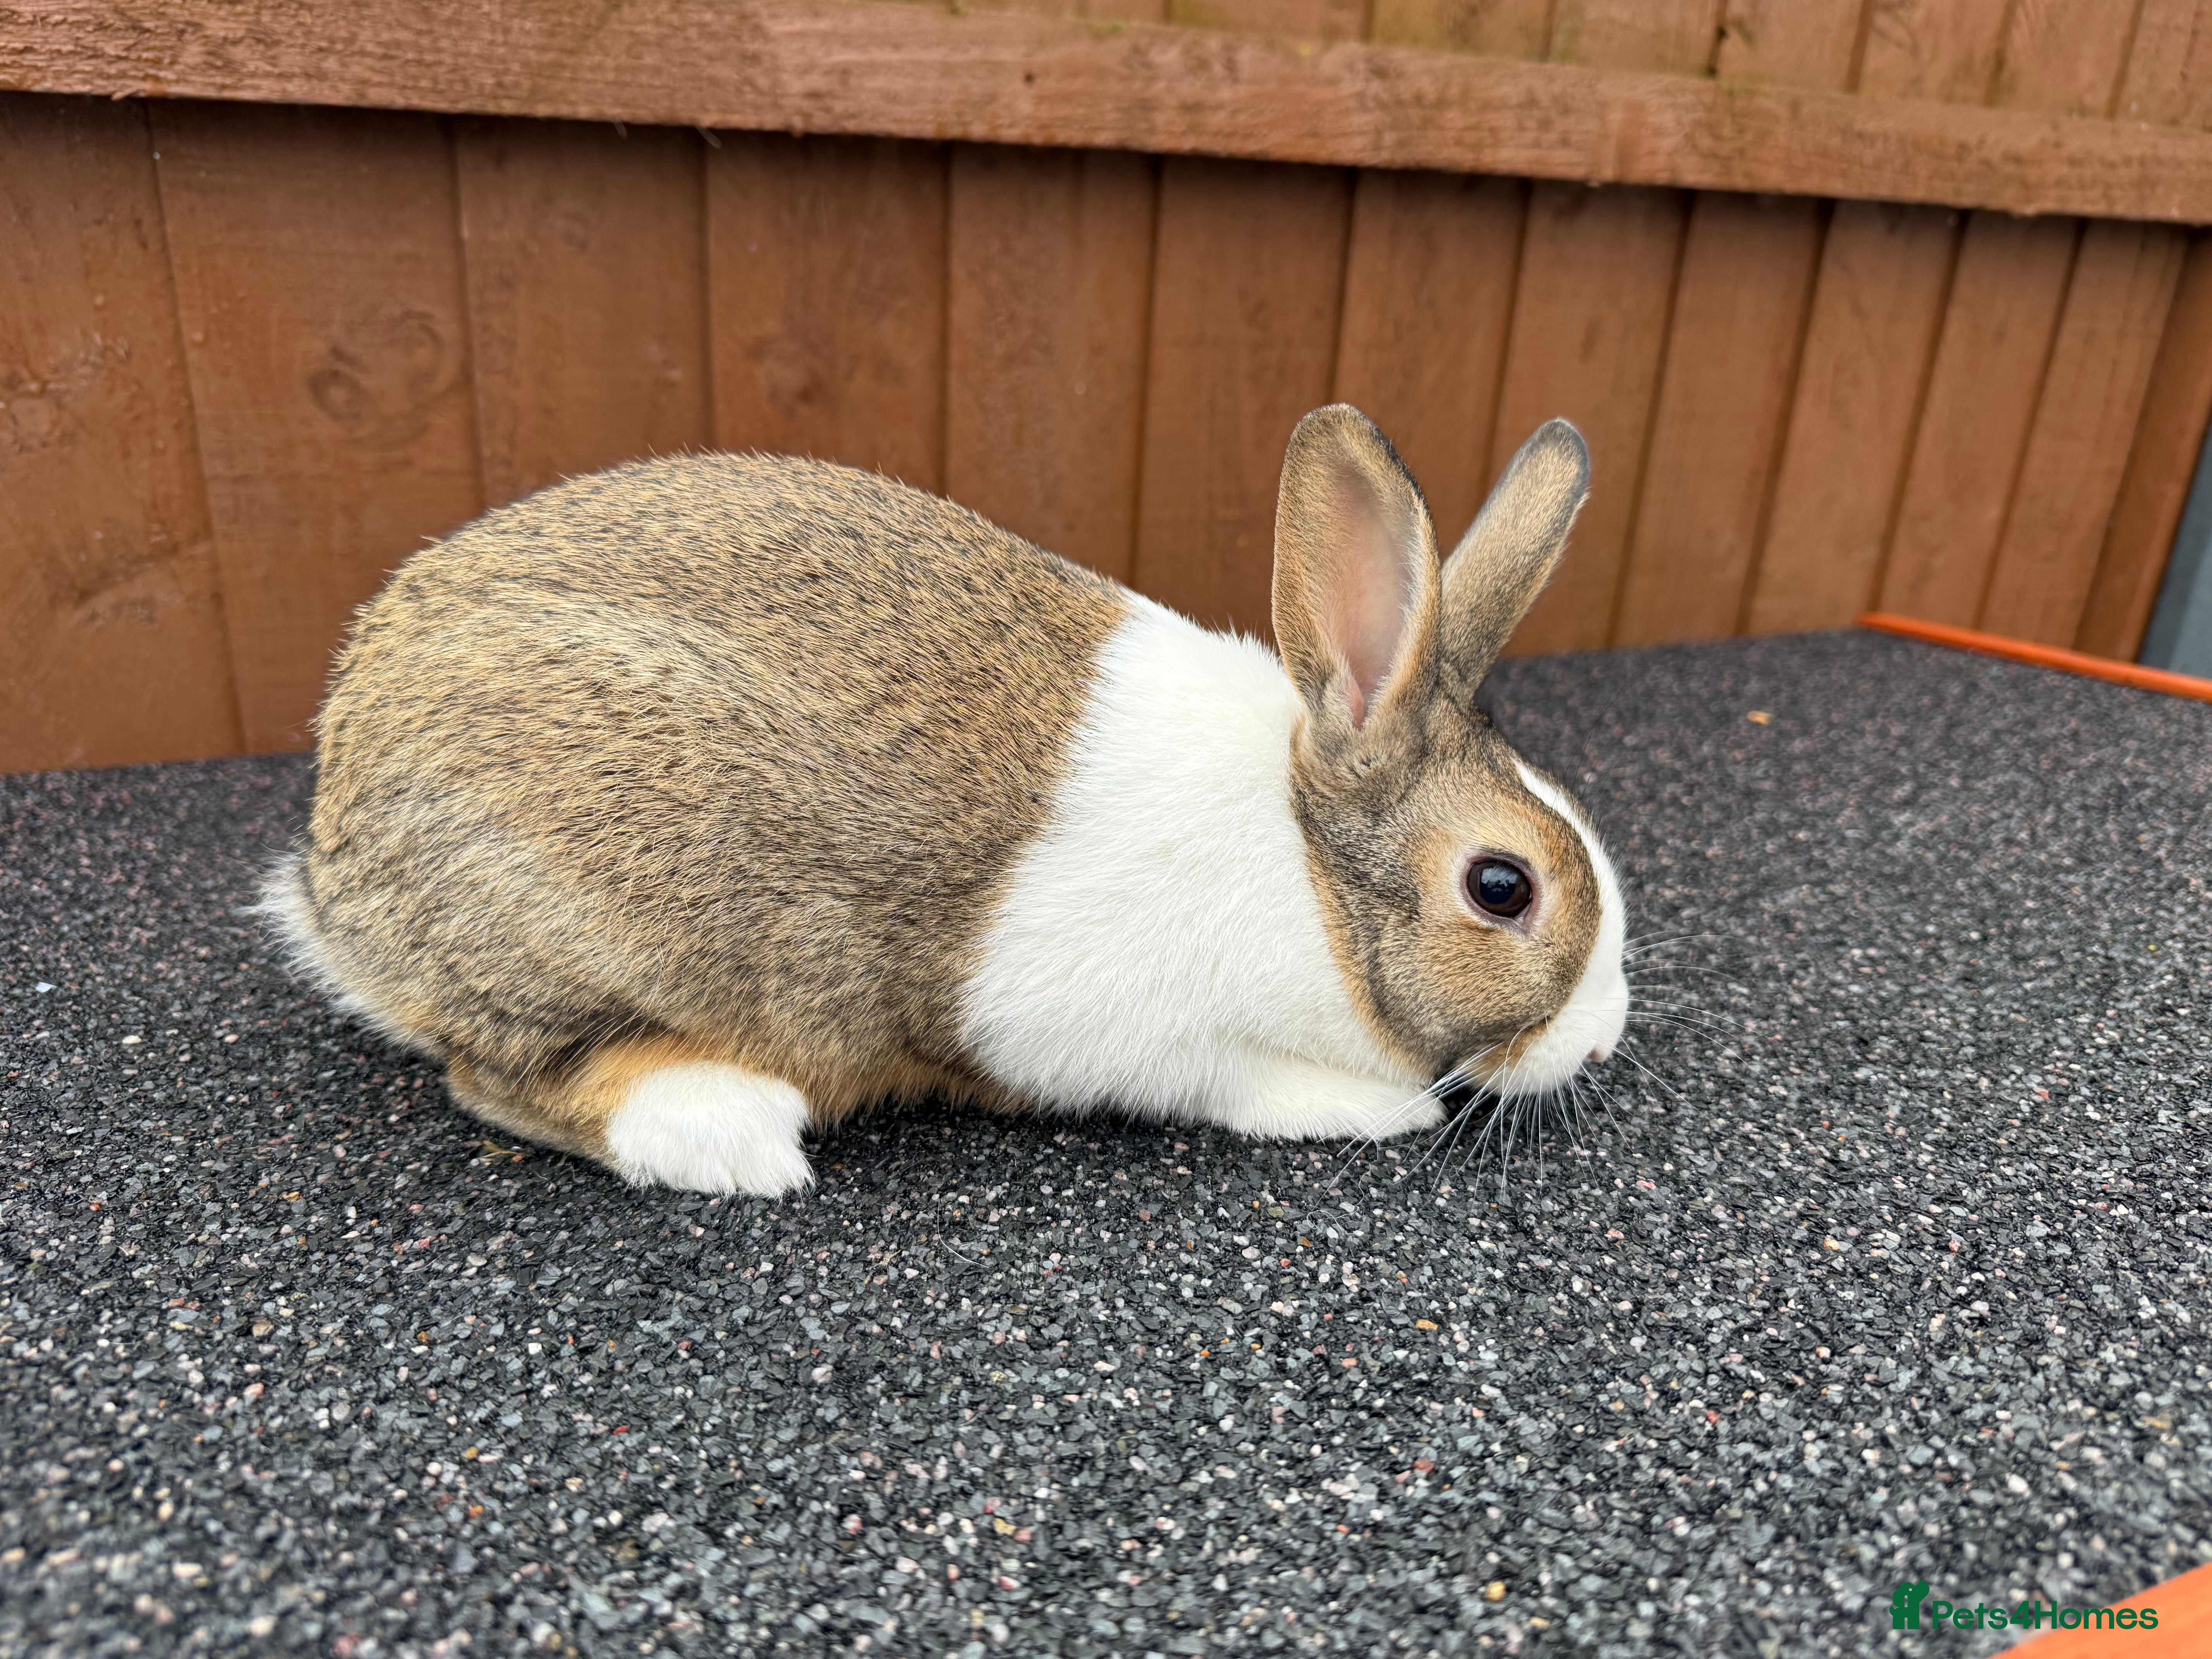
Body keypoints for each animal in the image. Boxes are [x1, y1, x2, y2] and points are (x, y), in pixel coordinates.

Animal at [263, 404, 1628, 1196]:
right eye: (1499, 886)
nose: (1603, 1040)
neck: (1308, 874)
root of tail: (332, 886)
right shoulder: (1127, 1033)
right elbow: (1238, 1084)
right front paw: (1377, 1109)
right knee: (498, 1080)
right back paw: (731, 1132)